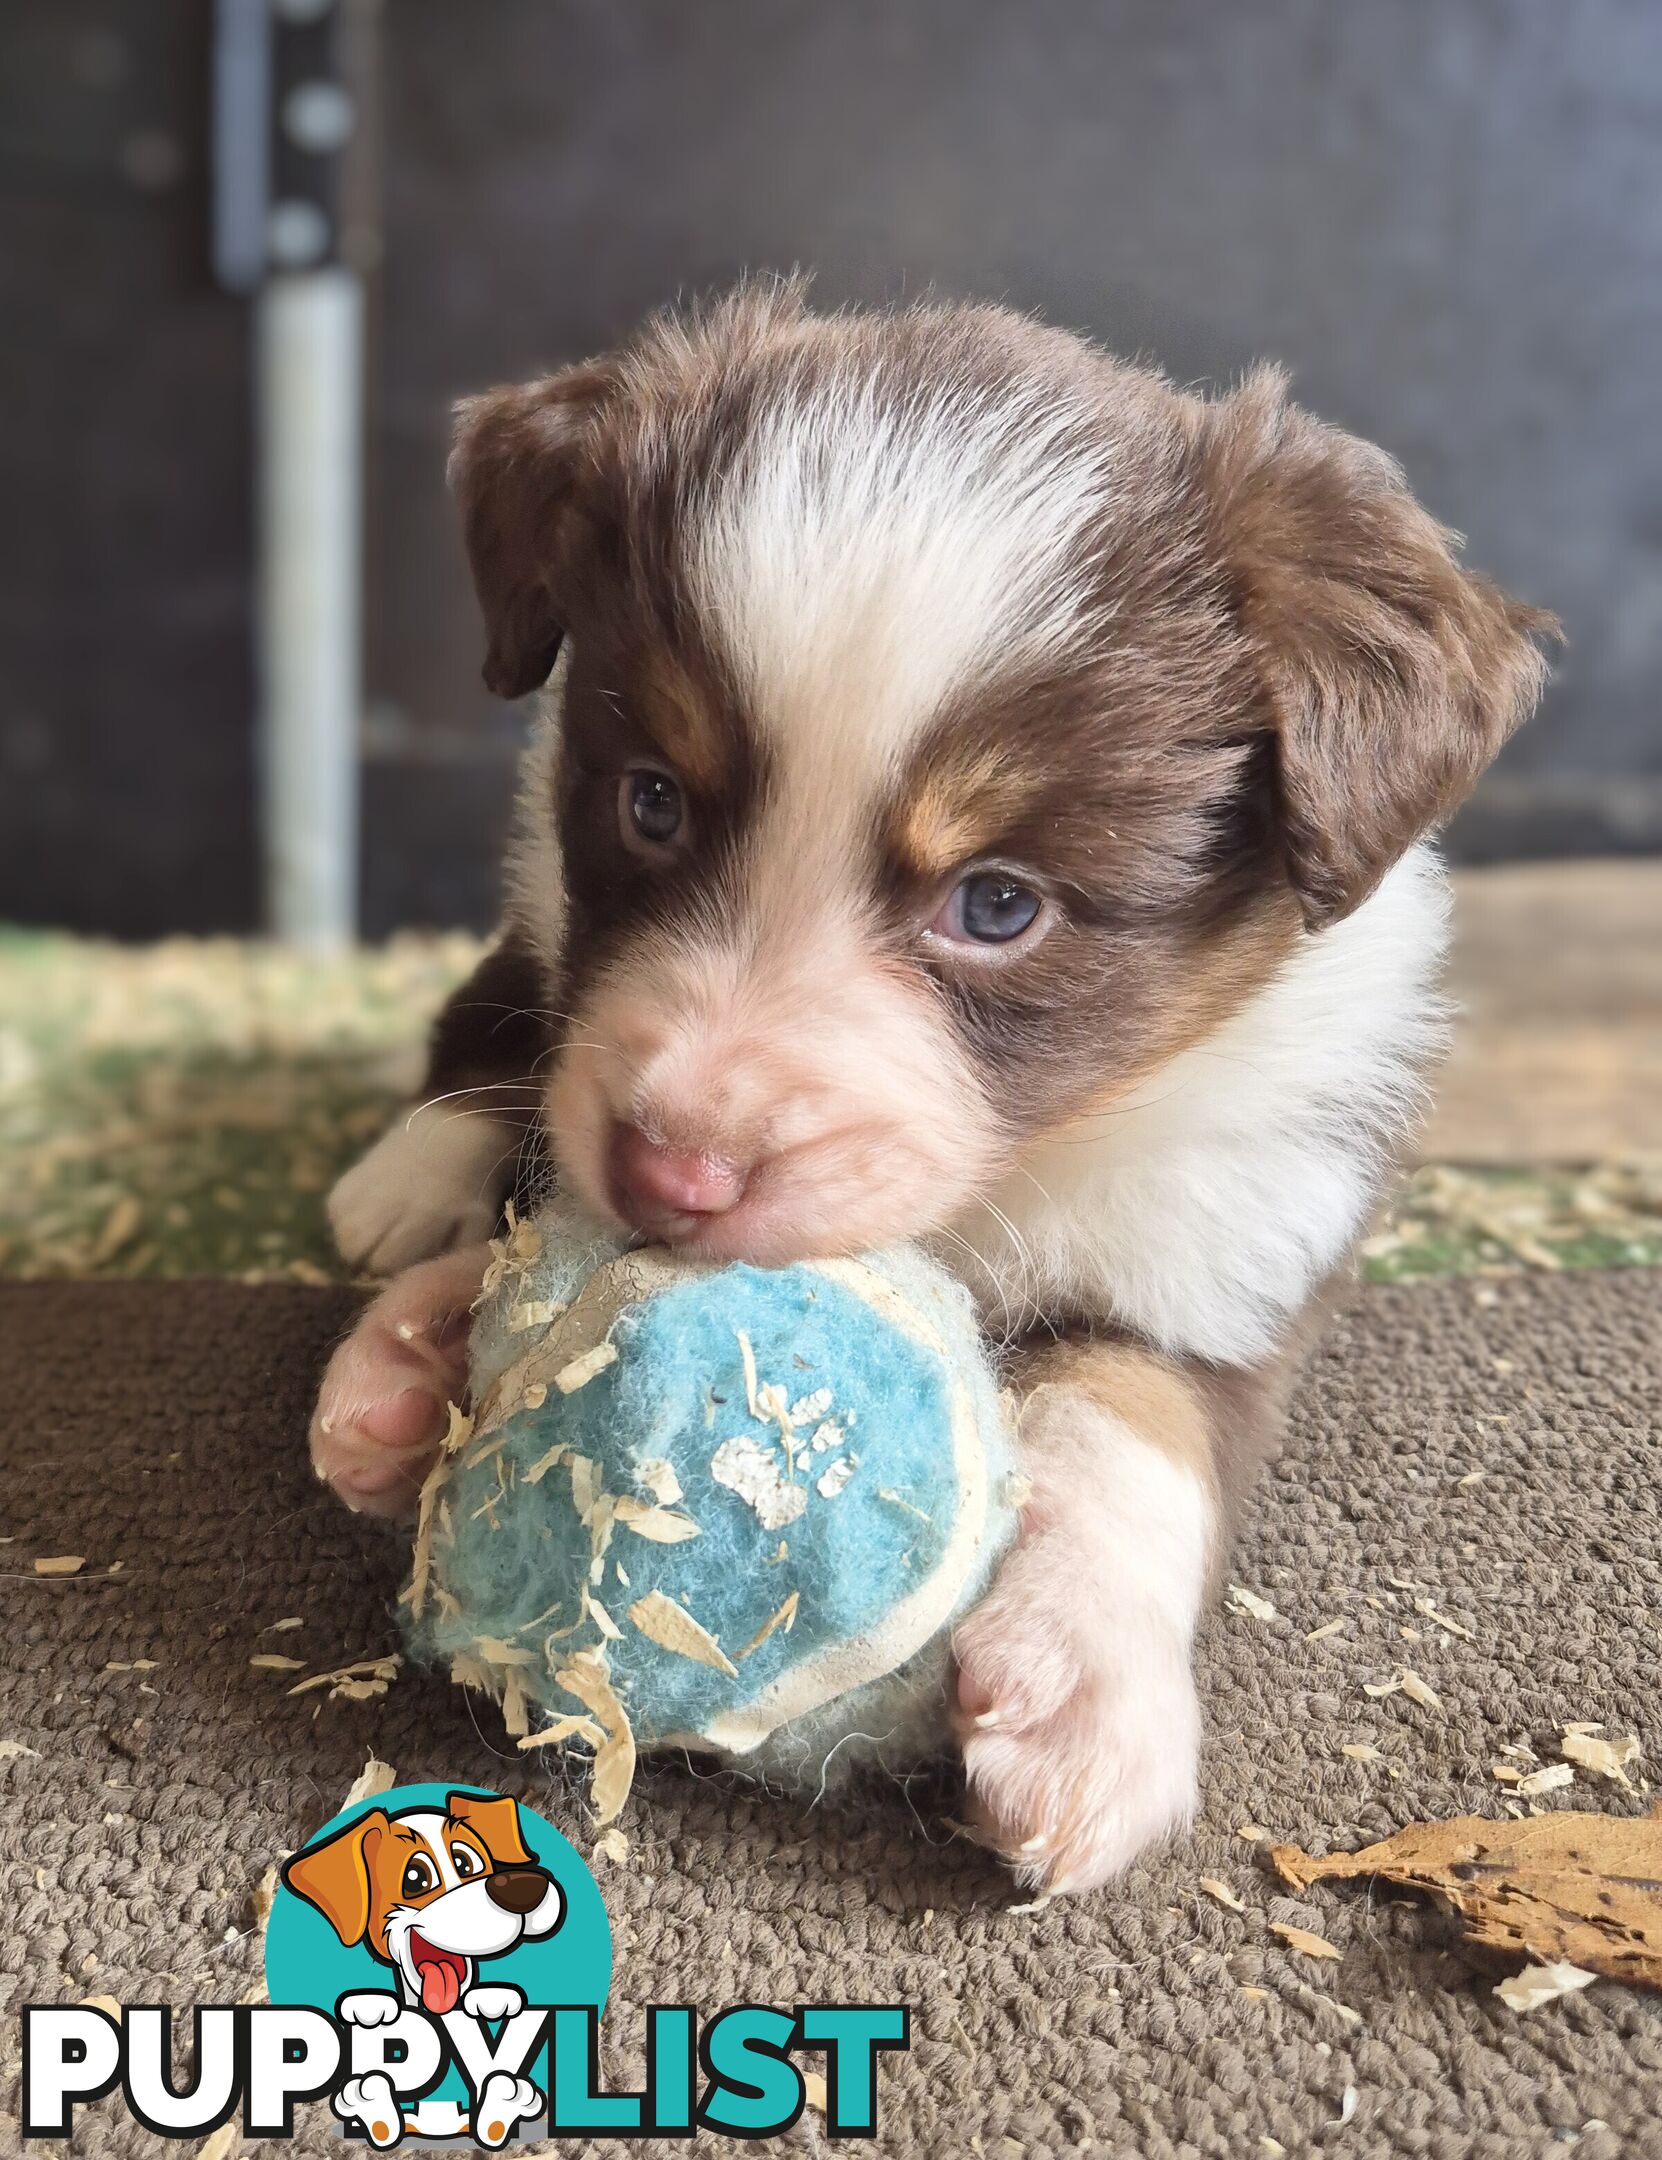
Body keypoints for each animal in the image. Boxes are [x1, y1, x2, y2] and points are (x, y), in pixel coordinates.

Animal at [306, 282, 1538, 1892]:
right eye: (651, 802)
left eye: (998, 905)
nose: (672, 1175)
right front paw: (427, 1342)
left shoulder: (1240, 1231)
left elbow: (1136, 1413)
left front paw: (1082, 1697)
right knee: (495, 1012)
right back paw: (409, 1198)